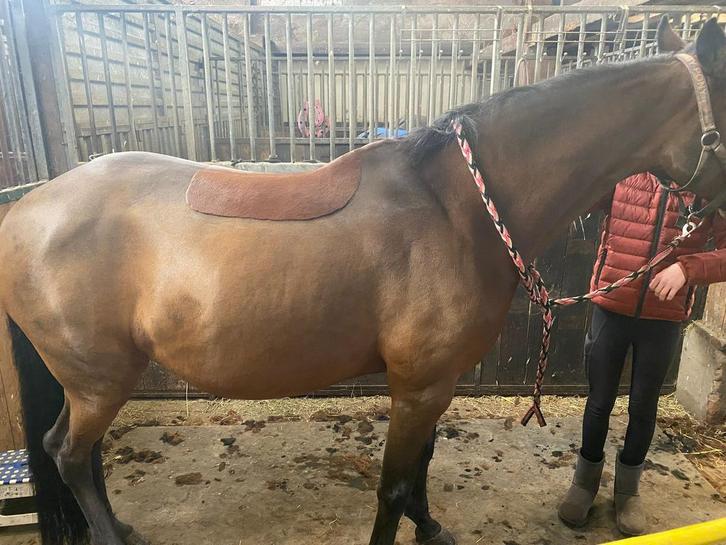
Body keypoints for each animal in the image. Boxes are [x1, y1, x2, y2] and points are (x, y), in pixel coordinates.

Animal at [0, 17, 724, 545]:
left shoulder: (435, 381)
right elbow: (393, 486)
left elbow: (421, 470)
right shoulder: (418, 385)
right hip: (100, 378)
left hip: (91, 380)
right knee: (70, 453)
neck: (459, 208)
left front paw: (431, 528)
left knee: (76, 453)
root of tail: (24, 209)